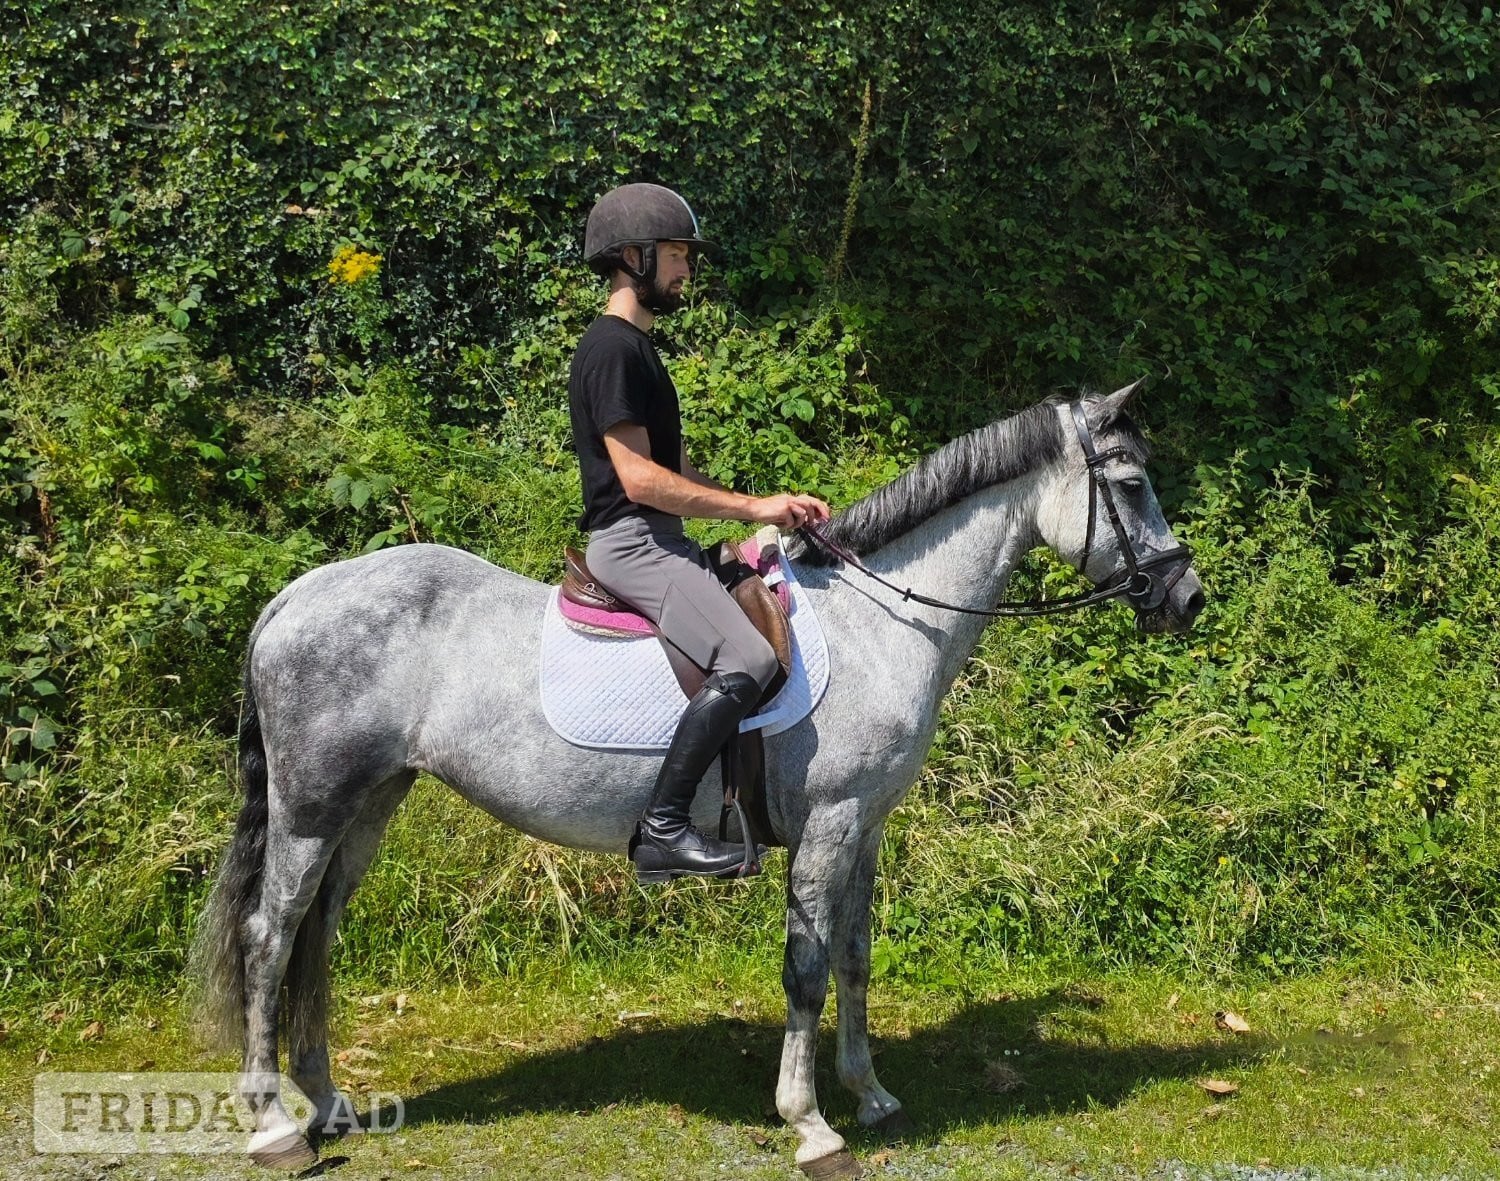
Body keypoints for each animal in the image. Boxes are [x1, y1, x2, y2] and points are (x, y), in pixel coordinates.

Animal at [193, 379, 1203, 1178]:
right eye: (1129, 483)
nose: (1185, 597)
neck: (883, 620)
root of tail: (295, 595)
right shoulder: (831, 823)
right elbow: (805, 968)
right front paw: (812, 1127)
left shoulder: (867, 825)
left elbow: (854, 955)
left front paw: (871, 1092)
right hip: (313, 807)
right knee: (270, 935)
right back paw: (274, 1126)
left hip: (369, 804)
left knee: (317, 936)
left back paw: (328, 1102)